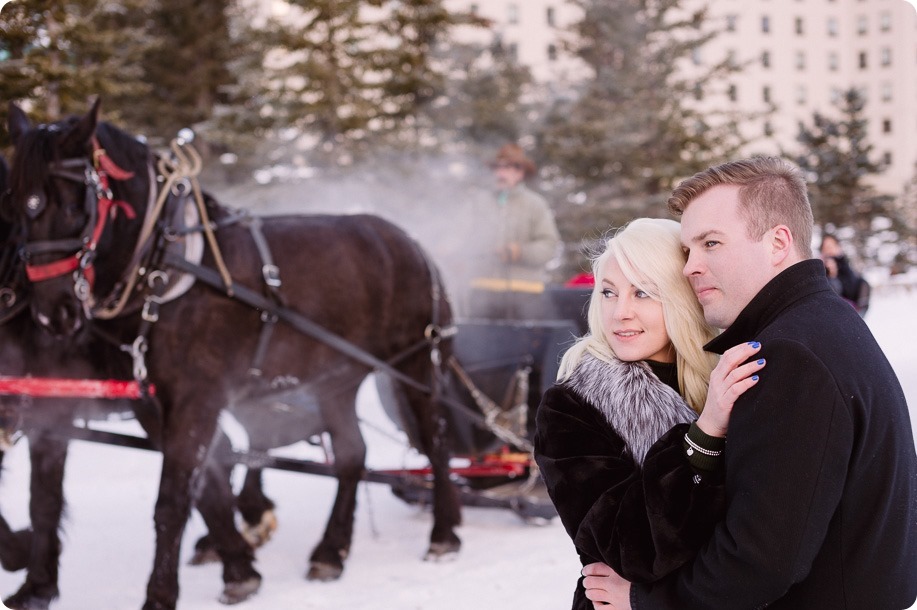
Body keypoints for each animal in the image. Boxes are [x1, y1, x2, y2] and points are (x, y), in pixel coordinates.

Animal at [3, 100, 462, 608]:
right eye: (16, 204)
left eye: (74, 204)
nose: (55, 311)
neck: (163, 269)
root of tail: (411, 243)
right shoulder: (151, 404)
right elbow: (209, 486)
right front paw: (239, 566)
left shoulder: (195, 399)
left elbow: (171, 502)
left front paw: (161, 594)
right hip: (334, 379)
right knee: (350, 455)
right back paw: (330, 550)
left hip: (416, 364)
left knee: (437, 440)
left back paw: (443, 533)